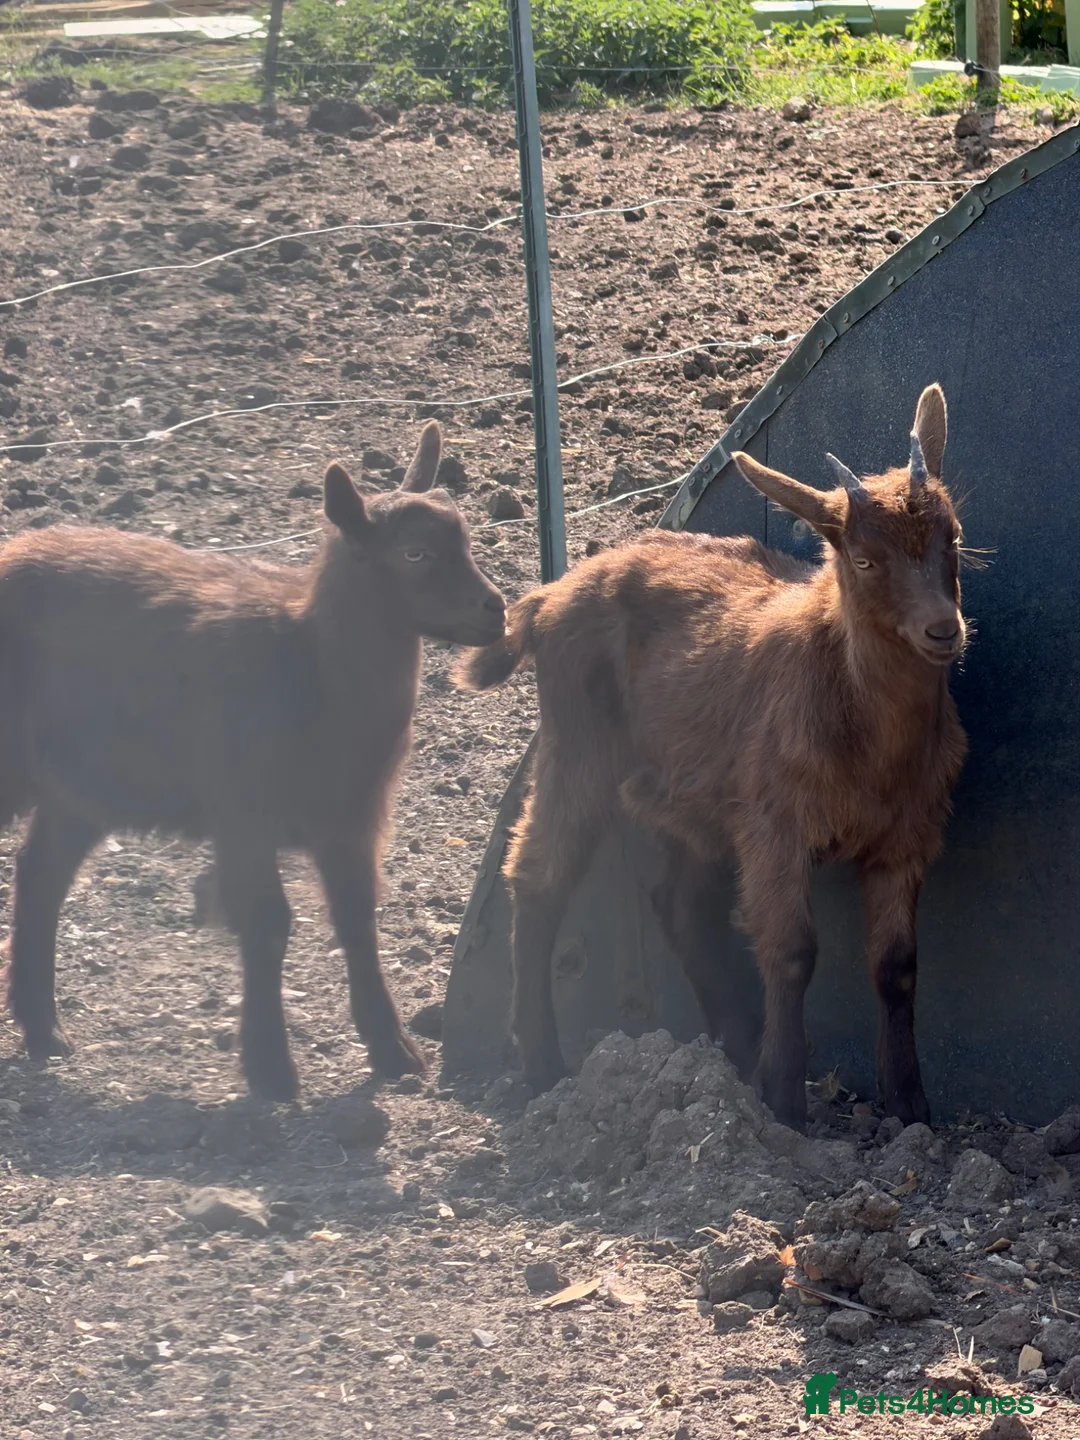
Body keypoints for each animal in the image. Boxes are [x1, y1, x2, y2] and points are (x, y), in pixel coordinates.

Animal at [0, 420, 506, 1101]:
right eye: (414, 554)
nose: (496, 609)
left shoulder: (353, 818)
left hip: (81, 785)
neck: (311, 664)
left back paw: (44, 1032)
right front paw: (271, 1070)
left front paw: (394, 1054)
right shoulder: (243, 814)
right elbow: (269, 923)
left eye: (466, 539)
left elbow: (357, 918)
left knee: (41, 877)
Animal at [456, 385, 968, 1130]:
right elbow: (790, 950)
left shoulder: (907, 834)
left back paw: (733, 1052)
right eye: (864, 560)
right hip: (575, 748)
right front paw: (784, 1103)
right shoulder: (773, 825)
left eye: (950, 536)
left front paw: (910, 1107)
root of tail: (549, 595)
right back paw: (544, 1066)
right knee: (538, 876)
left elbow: (898, 965)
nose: (942, 630)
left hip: (690, 798)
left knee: (679, 903)